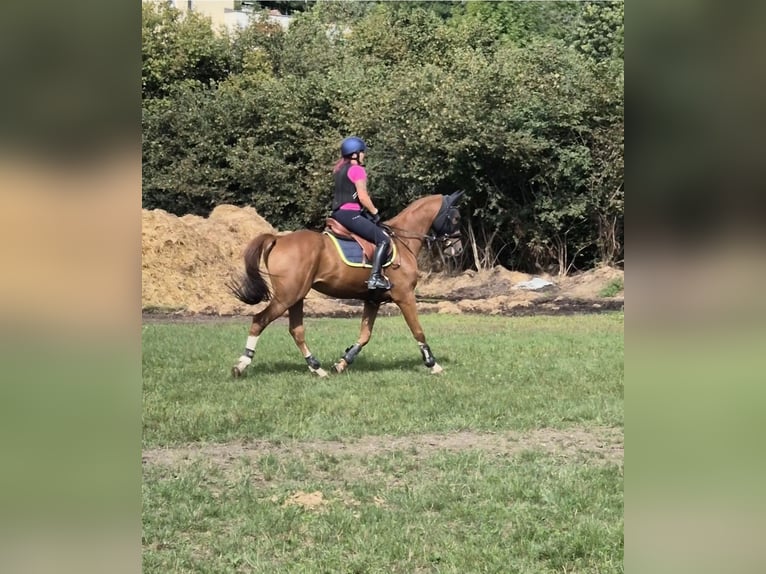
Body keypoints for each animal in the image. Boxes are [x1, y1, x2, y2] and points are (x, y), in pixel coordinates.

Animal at [229, 191, 465, 378]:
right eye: (455, 218)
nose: (459, 249)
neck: (403, 241)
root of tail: (278, 239)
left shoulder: (373, 300)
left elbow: (364, 336)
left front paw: (342, 363)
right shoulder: (404, 296)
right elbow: (418, 331)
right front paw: (433, 364)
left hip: (297, 296)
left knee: (296, 330)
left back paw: (317, 368)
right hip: (287, 296)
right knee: (259, 320)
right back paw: (241, 365)